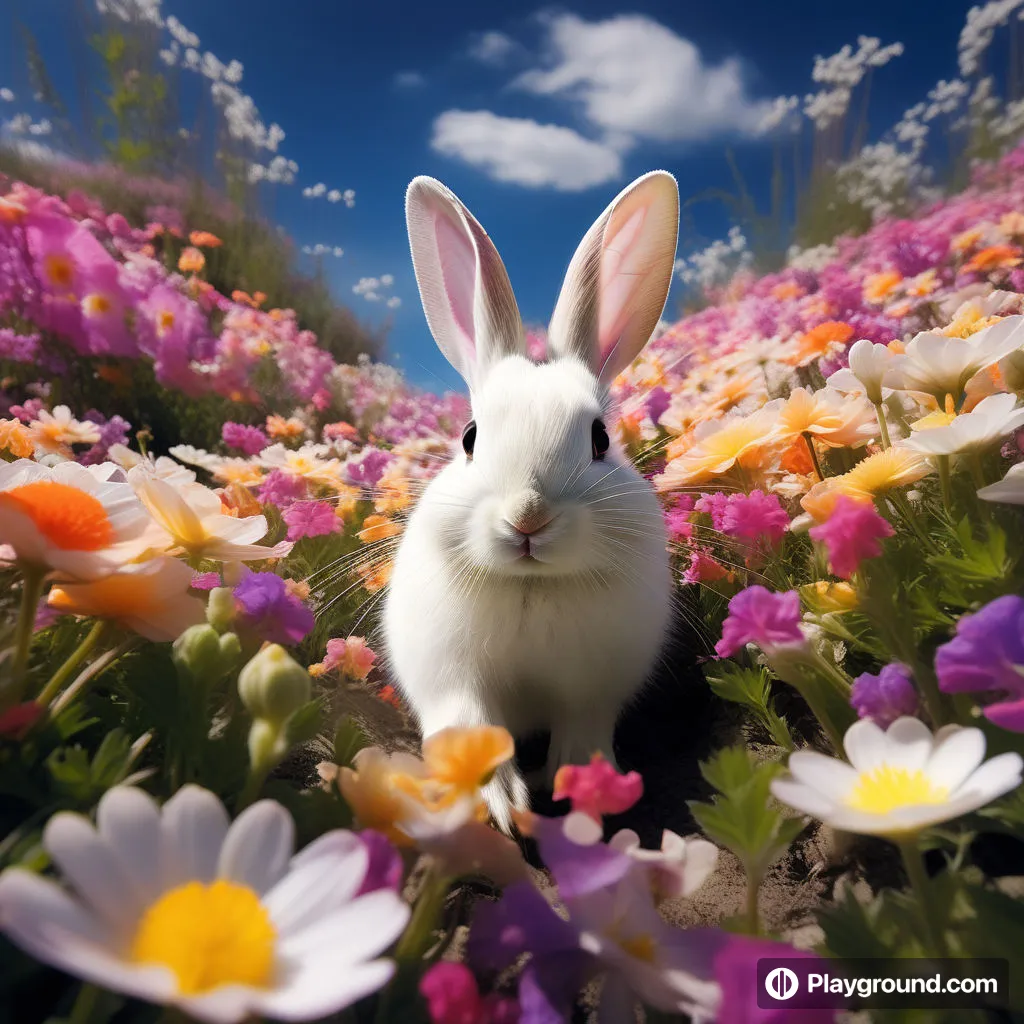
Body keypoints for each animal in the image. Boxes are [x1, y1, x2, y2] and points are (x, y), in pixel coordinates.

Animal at [385, 172, 679, 827]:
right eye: (470, 437)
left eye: (600, 439)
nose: (528, 517)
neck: (530, 585)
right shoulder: (451, 679)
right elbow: (470, 726)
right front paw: (497, 808)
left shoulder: (594, 687)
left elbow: (583, 729)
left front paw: (581, 787)